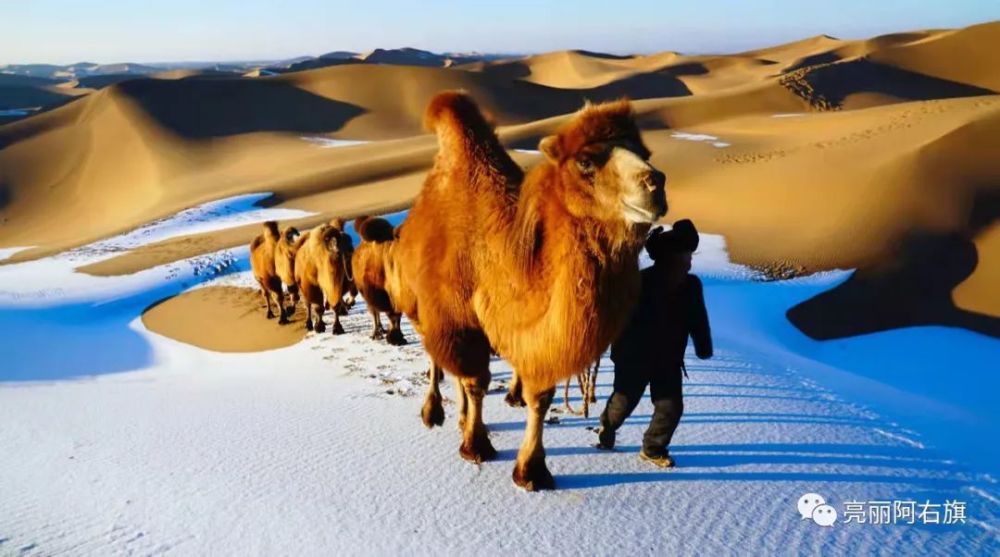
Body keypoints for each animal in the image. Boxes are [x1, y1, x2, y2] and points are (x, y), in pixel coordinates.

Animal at [394, 93, 668, 488]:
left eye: (644, 151)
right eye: (586, 161)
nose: (655, 183)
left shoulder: (535, 339)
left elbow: (539, 395)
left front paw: (531, 470)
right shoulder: (459, 319)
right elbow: (475, 380)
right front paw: (476, 446)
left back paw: (460, 418)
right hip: (420, 306)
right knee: (437, 359)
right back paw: (435, 413)